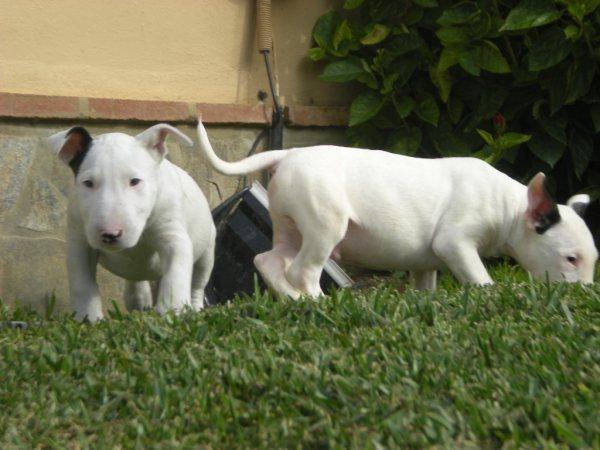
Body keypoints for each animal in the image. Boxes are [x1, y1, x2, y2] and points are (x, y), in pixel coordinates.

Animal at [48, 125, 216, 322]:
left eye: (135, 181)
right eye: (88, 183)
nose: (110, 234)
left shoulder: (173, 237)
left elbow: (175, 277)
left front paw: (171, 313)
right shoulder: (80, 242)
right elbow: (81, 282)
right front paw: (88, 318)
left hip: (206, 254)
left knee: (197, 284)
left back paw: (196, 309)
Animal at [196, 119, 596, 298]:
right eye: (571, 258)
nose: (586, 295)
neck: (509, 204)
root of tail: (290, 153)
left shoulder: (427, 263)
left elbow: (425, 286)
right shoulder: (455, 244)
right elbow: (479, 276)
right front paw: (488, 294)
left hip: (288, 225)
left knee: (268, 260)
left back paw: (293, 300)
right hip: (325, 225)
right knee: (302, 270)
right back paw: (317, 302)